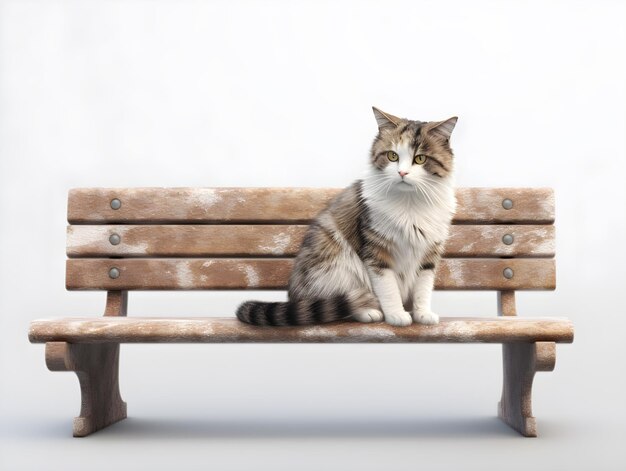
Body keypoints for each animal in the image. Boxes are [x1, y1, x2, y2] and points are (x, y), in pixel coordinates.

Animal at [236, 107, 456, 328]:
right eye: (392, 156)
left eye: (420, 159)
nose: (402, 173)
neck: (410, 204)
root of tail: (294, 298)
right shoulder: (376, 252)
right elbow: (388, 288)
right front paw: (396, 315)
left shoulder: (429, 254)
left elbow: (423, 289)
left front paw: (422, 314)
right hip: (339, 265)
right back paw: (367, 311)